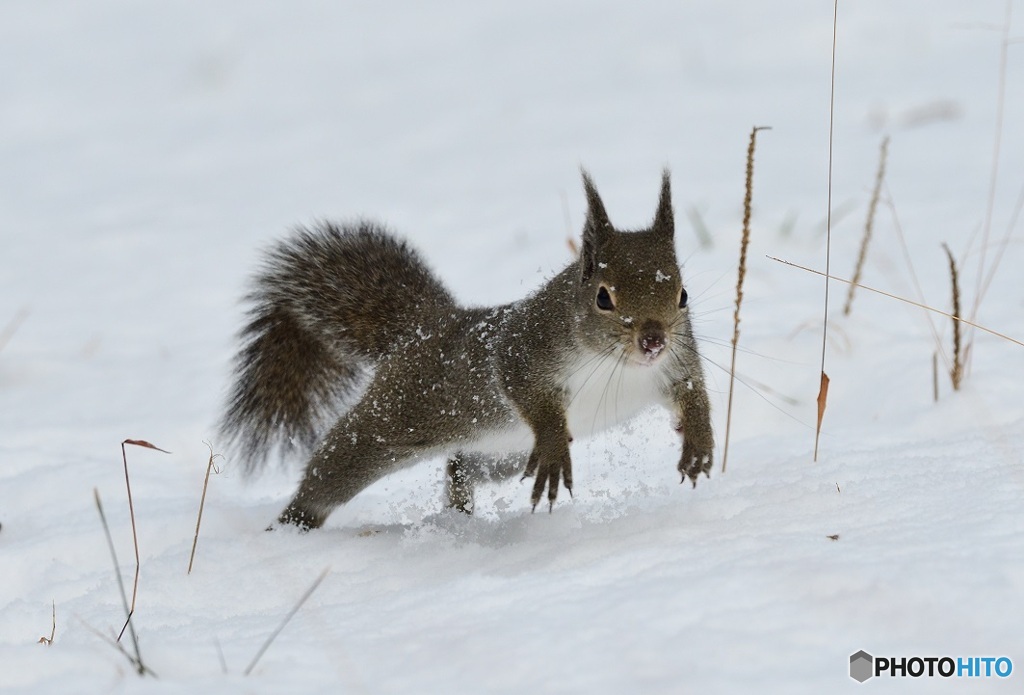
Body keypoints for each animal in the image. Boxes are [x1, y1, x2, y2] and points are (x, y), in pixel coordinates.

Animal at [221, 169, 712, 528]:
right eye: (603, 298)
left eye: (683, 295)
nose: (653, 340)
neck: (618, 363)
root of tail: (423, 330)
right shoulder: (524, 348)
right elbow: (522, 386)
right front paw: (556, 447)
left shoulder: (678, 360)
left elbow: (693, 393)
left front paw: (700, 441)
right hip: (392, 421)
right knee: (330, 474)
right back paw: (290, 526)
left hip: (503, 451)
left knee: (460, 464)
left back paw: (459, 508)